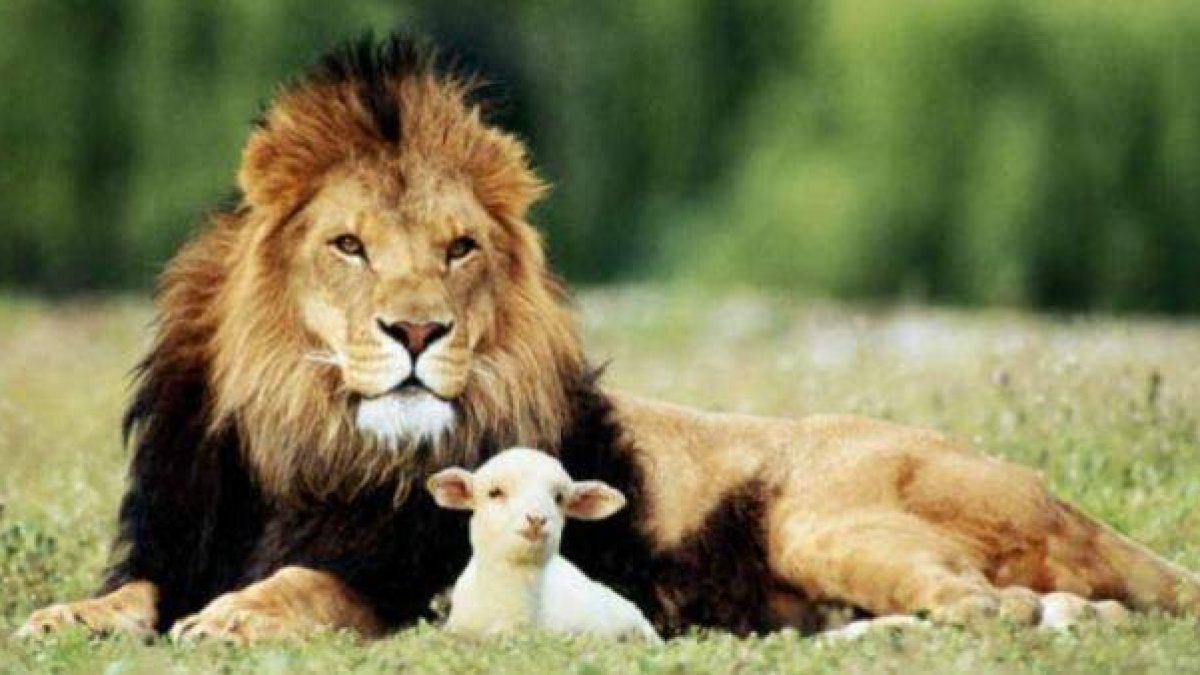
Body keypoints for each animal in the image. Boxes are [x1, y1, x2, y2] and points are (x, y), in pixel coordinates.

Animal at [19, 36, 1200, 643]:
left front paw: (233, 616)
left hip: (826, 517)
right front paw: (66, 617)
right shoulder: (179, 540)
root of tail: (1057, 496)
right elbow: (134, 591)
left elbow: (313, 584)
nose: (417, 330)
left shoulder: (408, 578)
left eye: (458, 250)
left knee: (994, 607)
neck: (309, 436)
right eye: (349, 246)